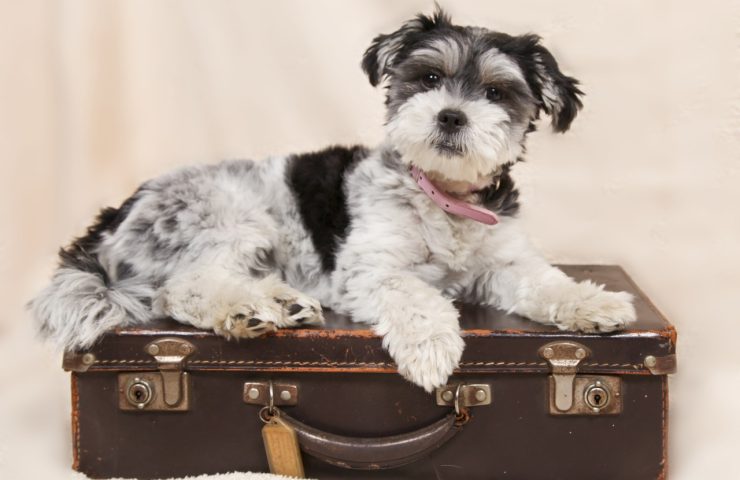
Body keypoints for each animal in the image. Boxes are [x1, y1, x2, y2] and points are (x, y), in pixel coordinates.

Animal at [31, 7, 636, 392]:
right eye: (429, 78)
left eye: (495, 92)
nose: (450, 116)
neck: (443, 199)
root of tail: (112, 218)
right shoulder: (368, 270)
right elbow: (415, 296)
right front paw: (432, 349)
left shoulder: (504, 263)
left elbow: (546, 282)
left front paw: (595, 304)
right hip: (230, 219)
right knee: (181, 289)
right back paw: (246, 311)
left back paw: (282, 303)